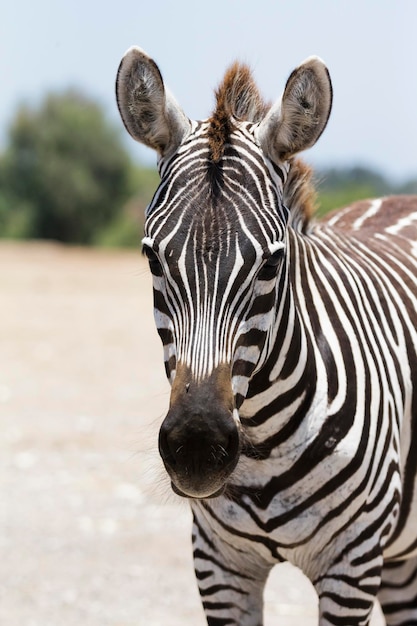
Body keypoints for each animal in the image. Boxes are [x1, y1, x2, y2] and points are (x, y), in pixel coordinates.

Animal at [115, 45, 416, 624]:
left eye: (272, 263)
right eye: (152, 259)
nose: (197, 447)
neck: (263, 443)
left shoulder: (352, 565)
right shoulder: (220, 565)